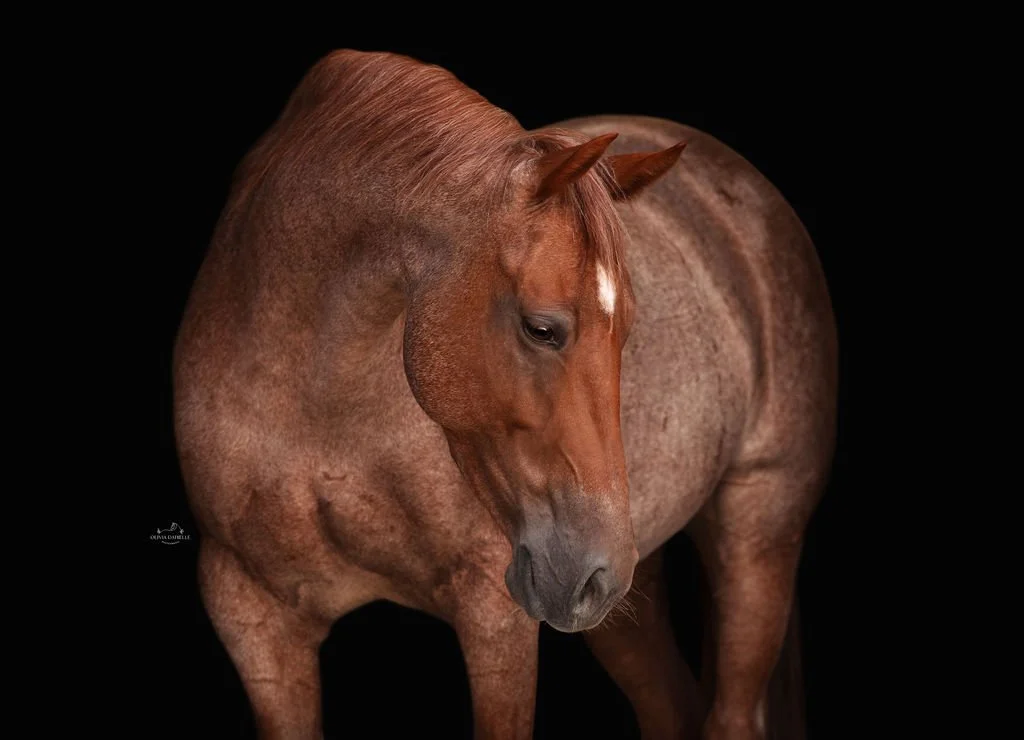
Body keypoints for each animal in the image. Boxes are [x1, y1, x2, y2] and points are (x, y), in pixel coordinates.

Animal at [173, 49, 836, 740]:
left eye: (629, 328)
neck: (320, 416)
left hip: (756, 532)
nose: (595, 571)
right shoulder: (252, 618)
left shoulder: (495, 617)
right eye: (541, 328)